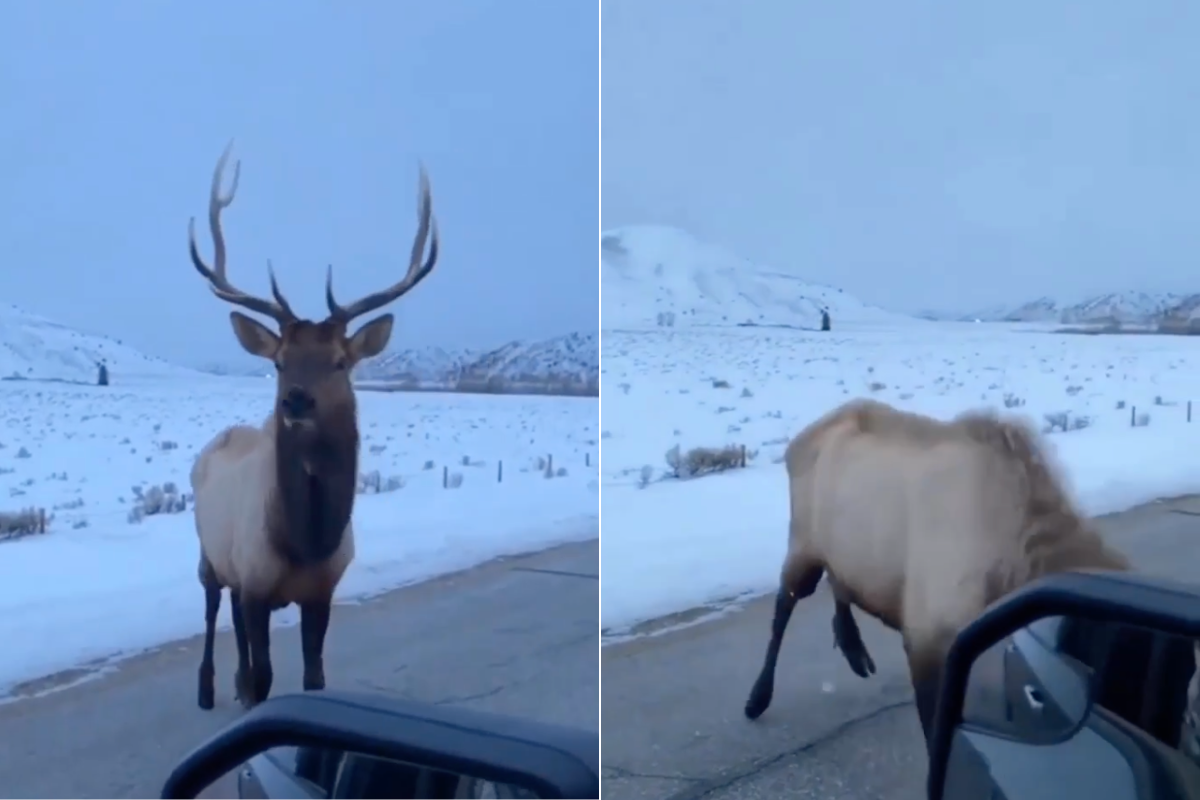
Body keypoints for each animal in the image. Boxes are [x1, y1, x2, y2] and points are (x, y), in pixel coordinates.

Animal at [190, 142, 439, 710]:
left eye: (339, 362)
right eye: (280, 361)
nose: (296, 399)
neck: (305, 542)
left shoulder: (322, 590)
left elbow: (314, 677)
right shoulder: (257, 581)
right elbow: (265, 677)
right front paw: (251, 698)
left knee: (231, 618)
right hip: (209, 552)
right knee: (213, 606)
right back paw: (208, 688)